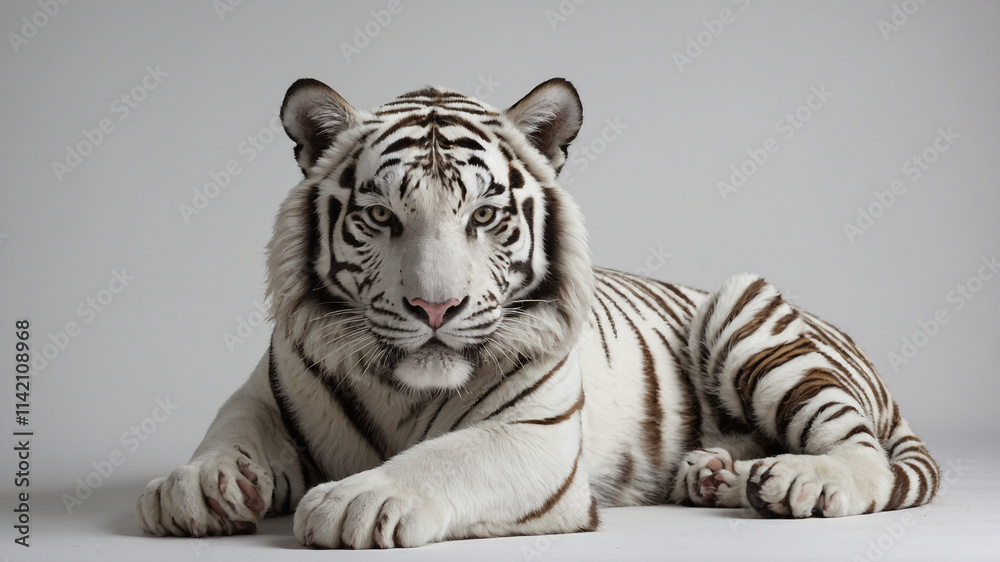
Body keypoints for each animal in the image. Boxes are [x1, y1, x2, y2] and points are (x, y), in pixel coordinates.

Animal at [136, 77, 940, 548]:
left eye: (485, 215)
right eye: (381, 216)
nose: (435, 306)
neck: (401, 392)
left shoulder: (536, 439)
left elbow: (446, 457)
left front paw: (357, 498)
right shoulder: (263, 391)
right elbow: (230, 432)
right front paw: (195, 486)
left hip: (745, 313)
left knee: (862, 450)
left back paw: (805, 482)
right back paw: (716, 474)